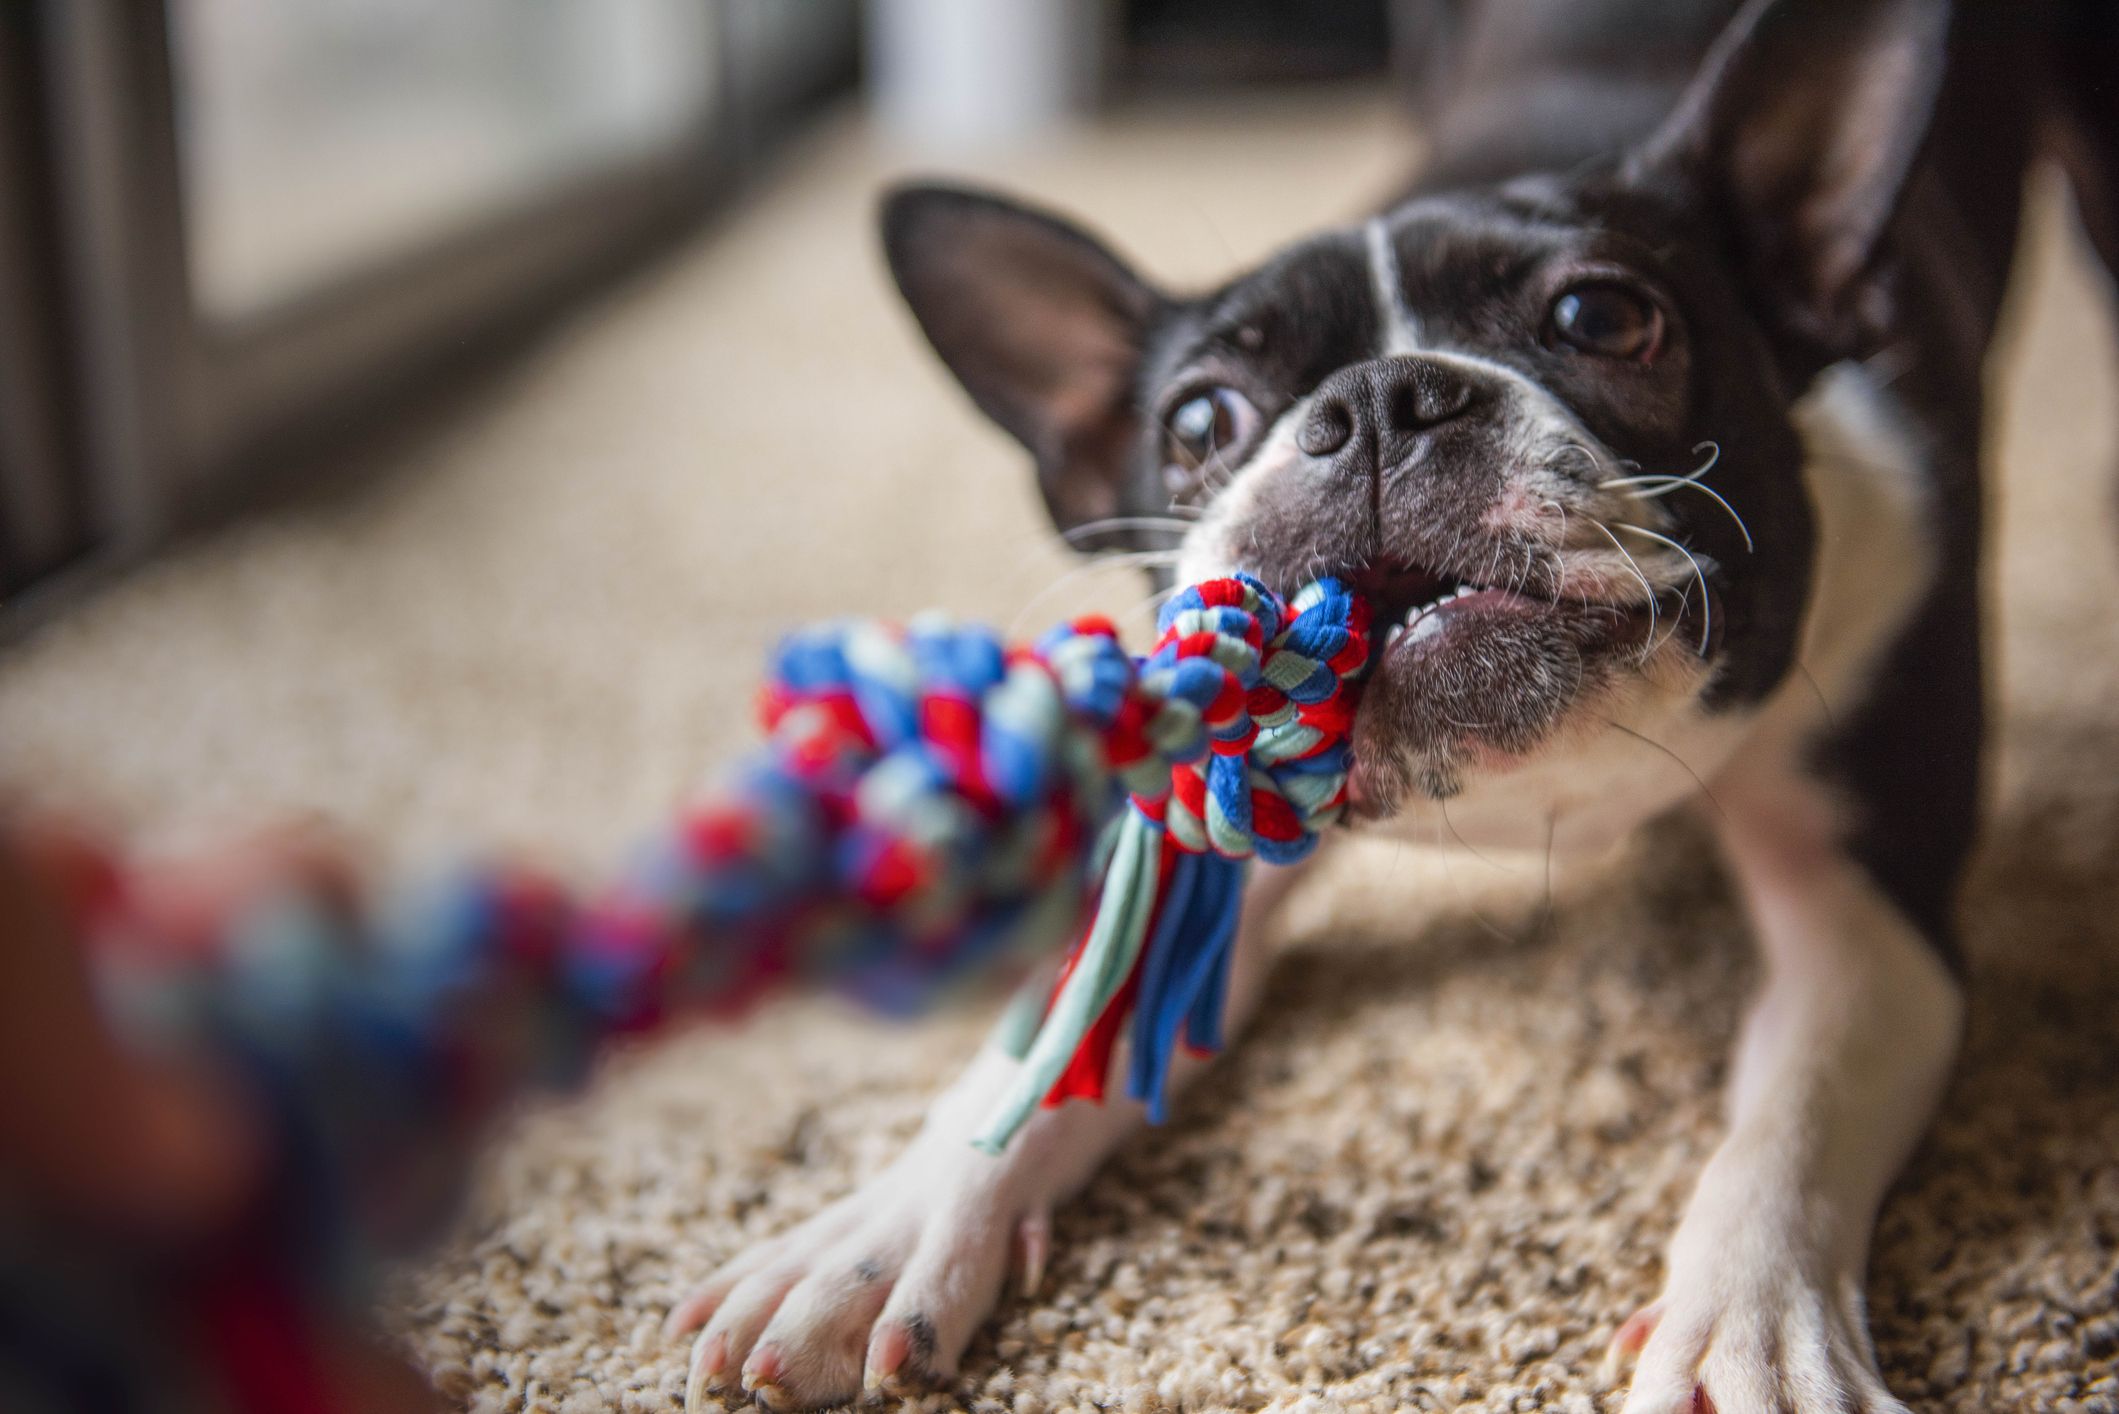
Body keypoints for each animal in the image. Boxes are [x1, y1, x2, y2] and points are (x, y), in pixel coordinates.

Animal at [665, 5, 2119, 1407]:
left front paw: (1749, 1334)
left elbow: (1793, 1113)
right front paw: (884, 1231)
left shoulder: (1871, 916)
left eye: (1603, 320)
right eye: (1198, 421)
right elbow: (1060, 1027)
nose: (1375, 401)